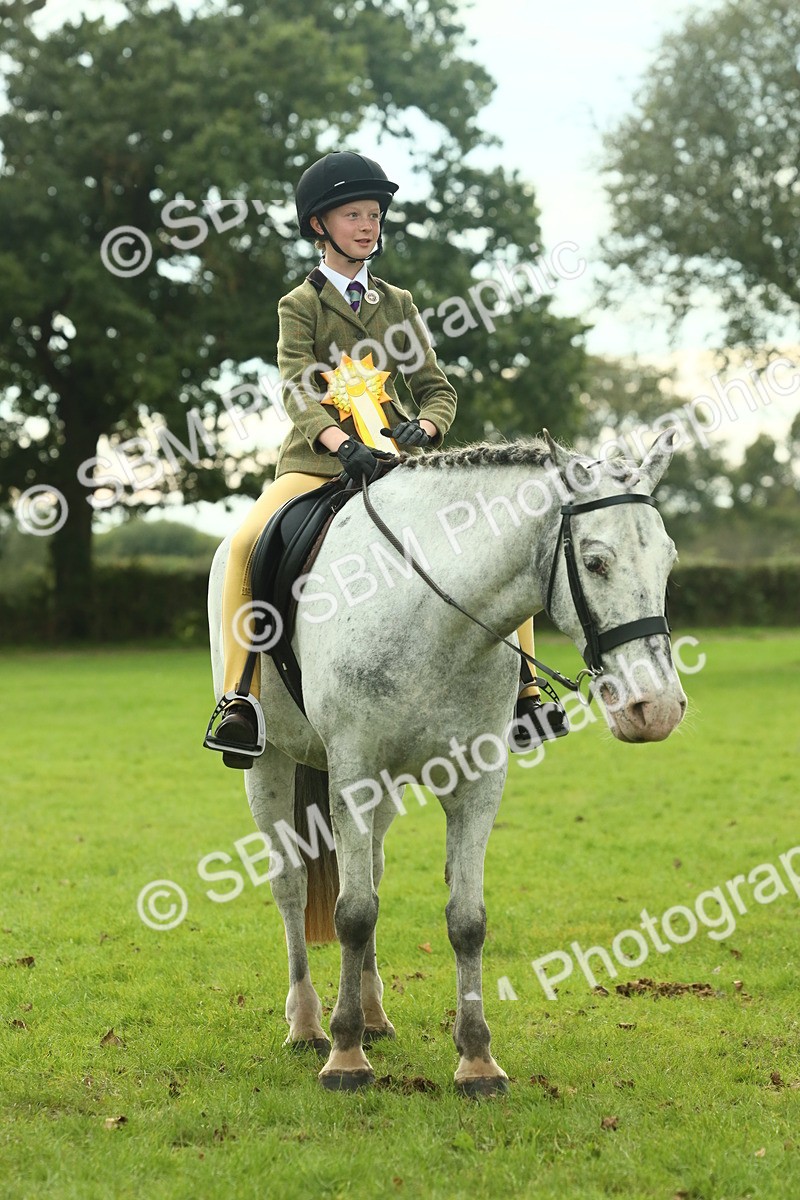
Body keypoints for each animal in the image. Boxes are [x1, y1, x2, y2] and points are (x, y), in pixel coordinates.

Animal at [207, 430, 687, 1096]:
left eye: (669, 561)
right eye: (595, 563)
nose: (657, 708)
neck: (431, 616)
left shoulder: (478, 782)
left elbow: (464, 918)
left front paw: (477, 1060)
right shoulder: (353, 773)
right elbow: (351, 912)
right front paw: (346, 1058)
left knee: (372, 873)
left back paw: (373, 1014)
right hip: (271, 765)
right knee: (291, 885)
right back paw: (307, 1025)